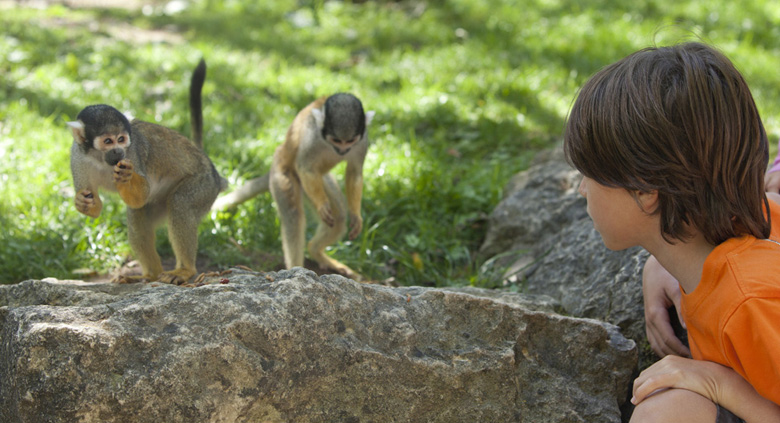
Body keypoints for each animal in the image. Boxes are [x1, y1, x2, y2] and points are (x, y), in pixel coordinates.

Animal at [66, 58, 227, 284]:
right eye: (108, 141)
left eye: (121, 139)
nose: (118, 151)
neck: (100, 159)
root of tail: (213, 171)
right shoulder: (77, 156)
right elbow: (96, 207)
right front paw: (82, 202)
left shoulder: (132, 152)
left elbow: (141, 195)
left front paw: (126, 177)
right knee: (138, 220)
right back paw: (150, 274)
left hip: (204, 186)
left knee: (180, 204)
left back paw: (185, 270)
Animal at [212, 93, 374, 282]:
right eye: (336, 140)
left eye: (350, 141)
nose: (343, 150)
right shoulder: (312, 136)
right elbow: (306, 167)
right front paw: (322, 205)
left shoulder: (362, 140)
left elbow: (355, 173)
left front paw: (356, 216)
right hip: (281, 172)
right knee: (294, 215)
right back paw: (296, 269)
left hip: (319, 181)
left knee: (339, 217)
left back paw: (315, 250)